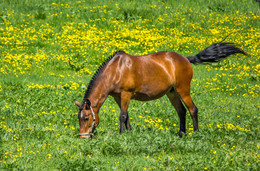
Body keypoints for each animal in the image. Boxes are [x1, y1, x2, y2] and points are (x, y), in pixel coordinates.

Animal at [74, 41, 246, 139]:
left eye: (87, 118)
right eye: (79, 118)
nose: (83, 137)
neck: (116, 69)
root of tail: (185, 59)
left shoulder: (126, 94)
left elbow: (122, 116)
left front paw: (122, 135)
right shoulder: (117, 96)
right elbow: (126, 116)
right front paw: (129, 133)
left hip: (183, 90)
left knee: (193, 109)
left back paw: (196, 133)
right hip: (172, 93)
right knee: (181, 111)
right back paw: (181, 133)